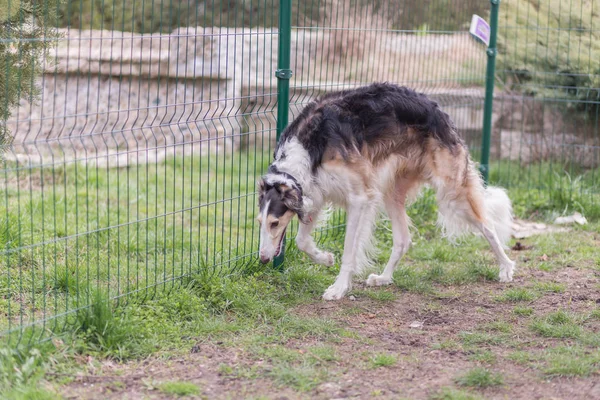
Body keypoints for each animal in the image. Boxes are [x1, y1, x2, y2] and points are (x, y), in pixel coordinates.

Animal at [255, 83, 512, 300]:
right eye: (260, 222)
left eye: (275, 223)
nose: (263, 259)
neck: (307, 148)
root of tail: (439, 110)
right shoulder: (315, 193)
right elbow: (301, 241)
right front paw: (325, 258)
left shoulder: (359, 198)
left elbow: (348, 251)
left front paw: (339, 288)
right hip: (392, 193)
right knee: (403, 240)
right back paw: (384, 278)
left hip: (452, 192)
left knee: (488, 226)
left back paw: (506, 268)